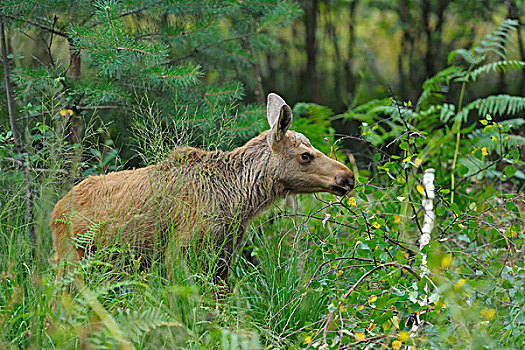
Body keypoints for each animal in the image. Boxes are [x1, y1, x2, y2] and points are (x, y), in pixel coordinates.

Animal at [49, 93, 354, 284]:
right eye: (306, 156)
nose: (347, 177)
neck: (240, 198)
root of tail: (55, 213)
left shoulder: (224, 255)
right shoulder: (182, 249)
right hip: (73, 260)